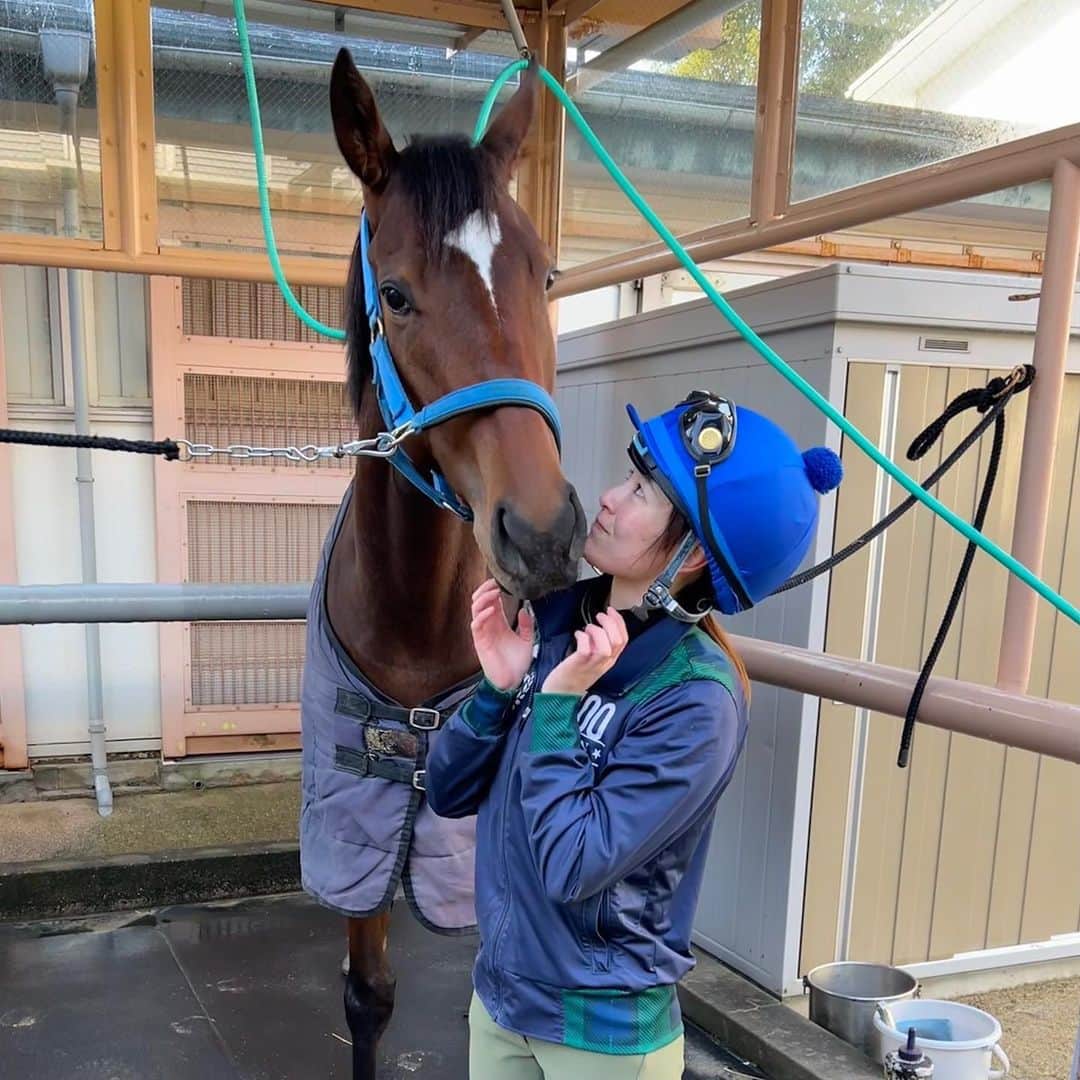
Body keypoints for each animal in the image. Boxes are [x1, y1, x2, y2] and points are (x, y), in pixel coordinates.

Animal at [300, 48, 587, 1080]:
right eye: (395, 293)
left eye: (546, 274)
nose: (542, 534)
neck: (417, 617)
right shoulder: (357, 815)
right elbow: (367, 994)